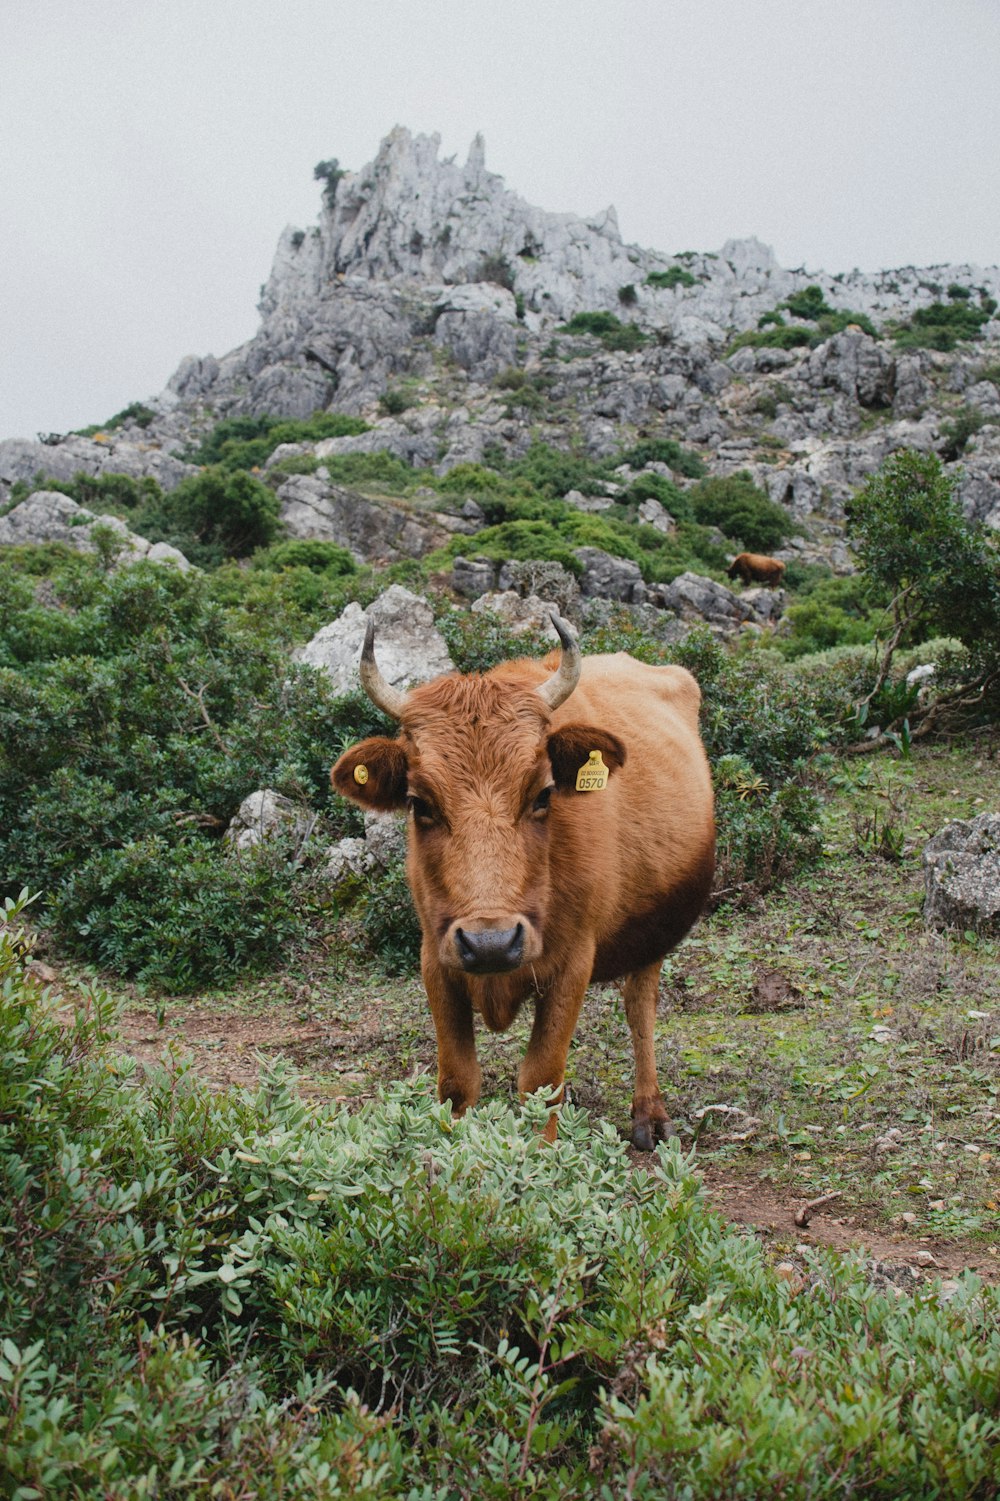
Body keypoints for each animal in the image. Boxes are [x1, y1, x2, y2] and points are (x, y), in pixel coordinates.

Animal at [330, 615, 711, 1140]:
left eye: (543, 793)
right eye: (418, 803)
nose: (490, 943)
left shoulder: (572, 965)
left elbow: (541, 1079)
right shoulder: (436, 959)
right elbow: (457, 1080)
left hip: (653, 938)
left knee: (641, 1008)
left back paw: (649, 1117)